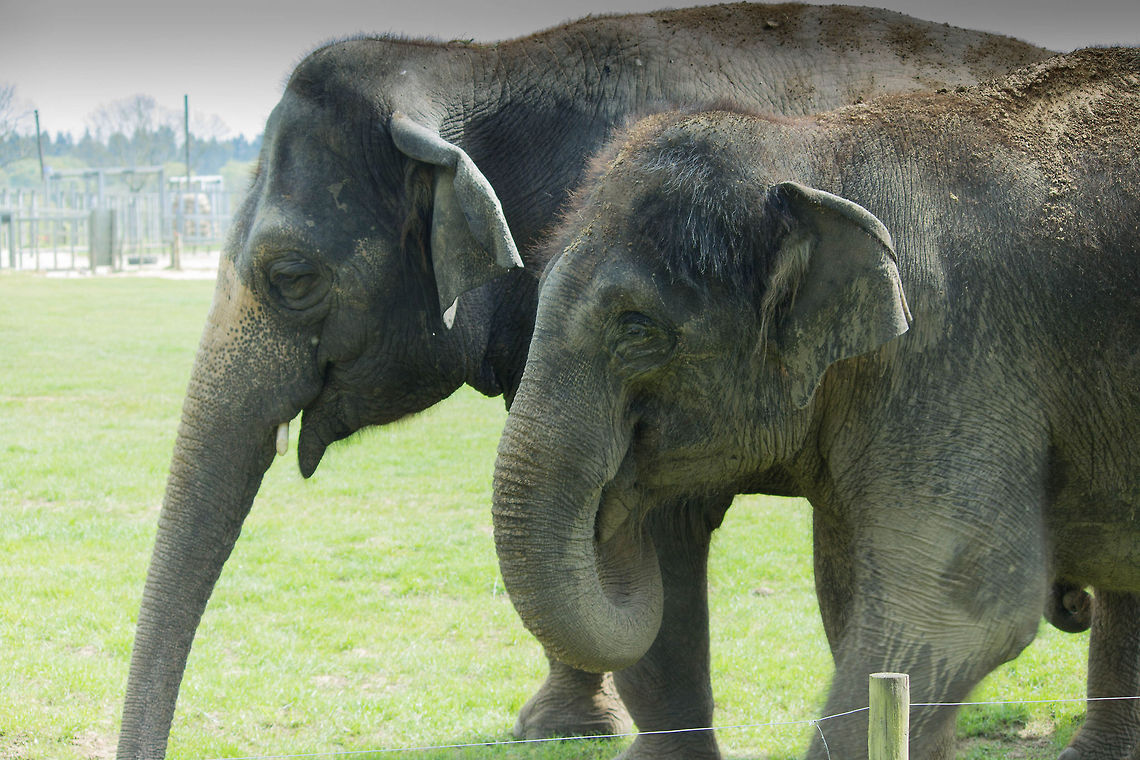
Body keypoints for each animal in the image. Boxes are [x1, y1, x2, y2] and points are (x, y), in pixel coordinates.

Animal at [492, 48, 1140, 760]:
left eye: (636, 328)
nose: (612, 497)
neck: (814, 153)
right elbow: (846, 593)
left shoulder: (959, 355)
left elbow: (963, 609)